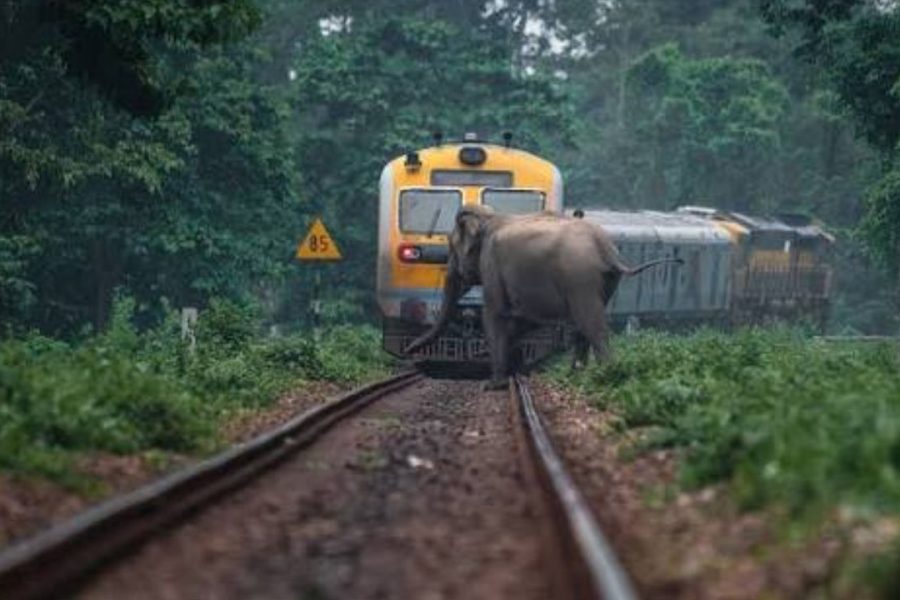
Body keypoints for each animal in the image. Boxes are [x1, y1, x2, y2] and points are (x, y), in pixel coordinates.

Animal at [405, 206, 683, 389]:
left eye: (451, 247)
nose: (409, 351)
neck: (490, 216)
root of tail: (607, 249)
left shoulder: (492, 264)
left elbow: (494, 314)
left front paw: (493, 385)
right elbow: (521, 321)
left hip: (579, 277)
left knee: (592, 325)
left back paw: (608, 377)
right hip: (604, 282)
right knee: (584, 326)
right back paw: (575, 377)